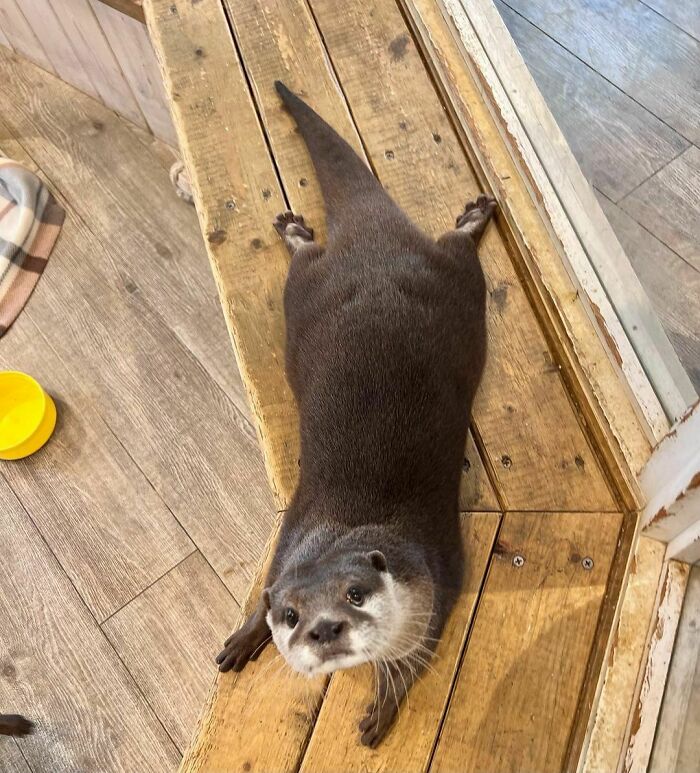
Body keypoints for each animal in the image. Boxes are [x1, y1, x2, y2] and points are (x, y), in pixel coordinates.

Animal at [216, 81, 495, 747]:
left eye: (357, 594)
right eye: (292, 614)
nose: (323, 628)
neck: (352, 526)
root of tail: (374, 242)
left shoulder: (439, 586)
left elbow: (413, 662)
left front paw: (381, 708)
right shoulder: (285, 546)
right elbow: (258, 599)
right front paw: (244, 636)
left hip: (437, 282)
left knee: (452, 248)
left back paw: (471, 217)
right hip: (311, 287)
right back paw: (296, 228)